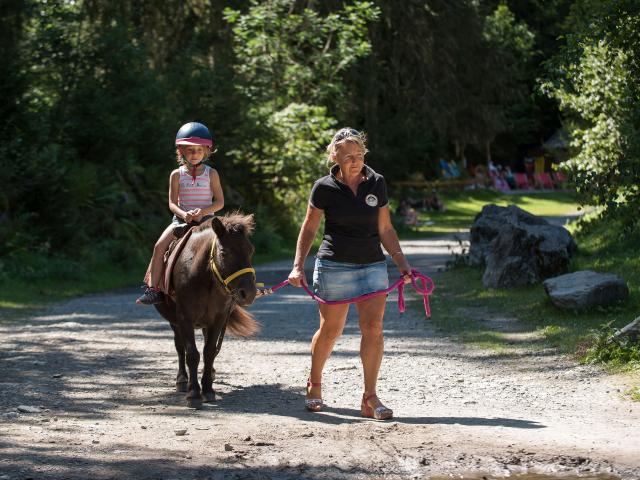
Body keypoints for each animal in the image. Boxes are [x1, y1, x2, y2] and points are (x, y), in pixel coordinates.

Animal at [155, 214, 260, 408]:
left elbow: (209, 351)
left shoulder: (218, 319)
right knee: (179, 347)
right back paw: (182, 380)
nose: (248, 293)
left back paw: (209, 373)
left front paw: (208, 389)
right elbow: (192, 354)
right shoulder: (184, 318)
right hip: (174, 322)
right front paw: (194, 393)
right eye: (224, 253)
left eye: (251, 250)